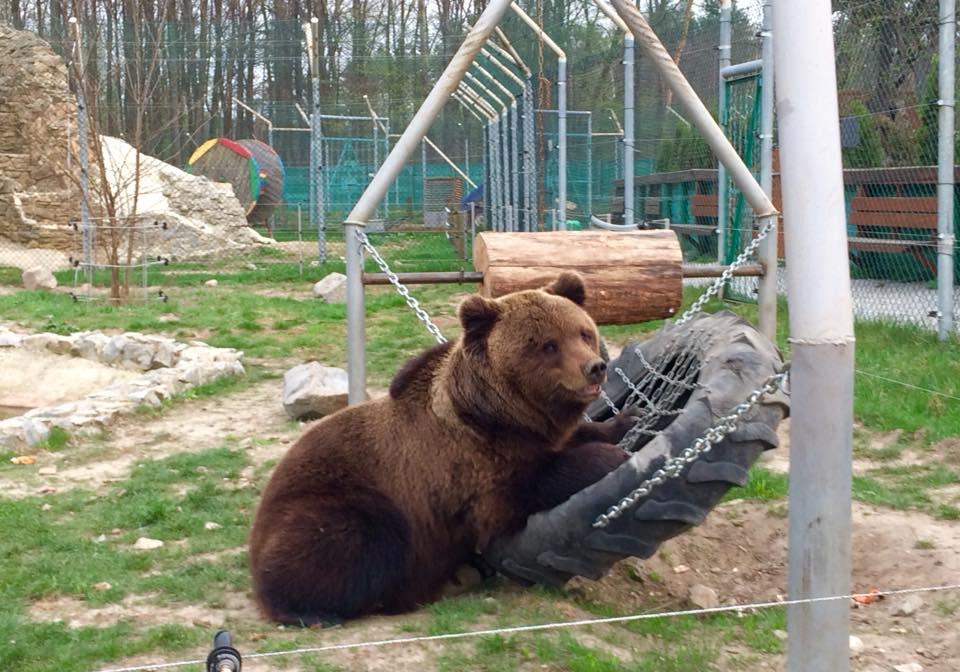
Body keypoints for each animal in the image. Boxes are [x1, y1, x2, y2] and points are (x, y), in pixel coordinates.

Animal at [251, 272, 632, 624]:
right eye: (548, 345)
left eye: (583, 333)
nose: (595, 367)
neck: (502, 414)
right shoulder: (466, 461)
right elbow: (518, 490)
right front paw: (609, 458)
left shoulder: (536, 433)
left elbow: (577, 436)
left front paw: (625, 421)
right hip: (343, 501)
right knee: (348, 539)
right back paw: (316, 610)